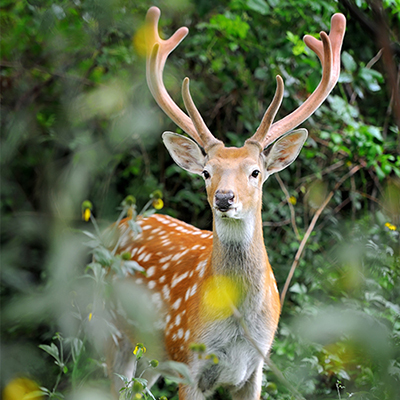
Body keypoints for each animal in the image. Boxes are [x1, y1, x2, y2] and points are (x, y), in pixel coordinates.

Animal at [108, 7, 346, 400]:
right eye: (207, 172)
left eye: (255, 172)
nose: (224, 197)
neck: (237, 327)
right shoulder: (187, 360)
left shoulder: (256, 368)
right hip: (108, 327)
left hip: (150, 358)